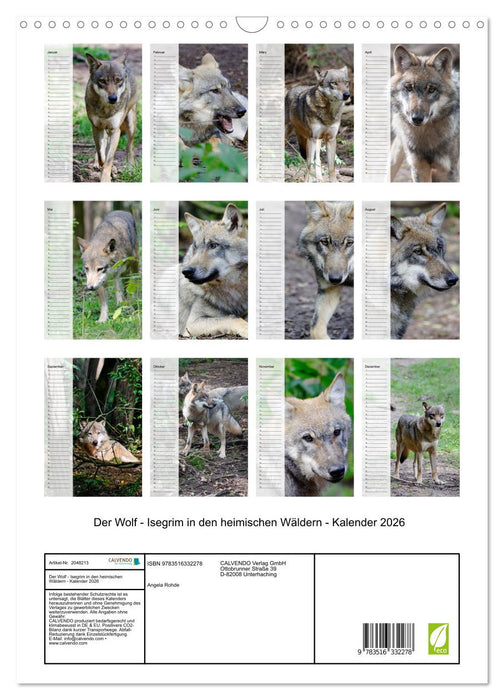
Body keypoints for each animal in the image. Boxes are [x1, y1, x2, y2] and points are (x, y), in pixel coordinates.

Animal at [85, 53, 138, 182]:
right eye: (102, 81)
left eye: (118, 80)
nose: (113, 98)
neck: (105, 109)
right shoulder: (96, 127)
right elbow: (101, 154)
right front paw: (103, 167)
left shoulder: (115, 130)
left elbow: (109, 158)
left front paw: (106, 177)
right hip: (104, 130)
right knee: (102, 146)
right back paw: (96, 163)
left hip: (130, 126)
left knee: (129, 147)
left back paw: (131, 168)